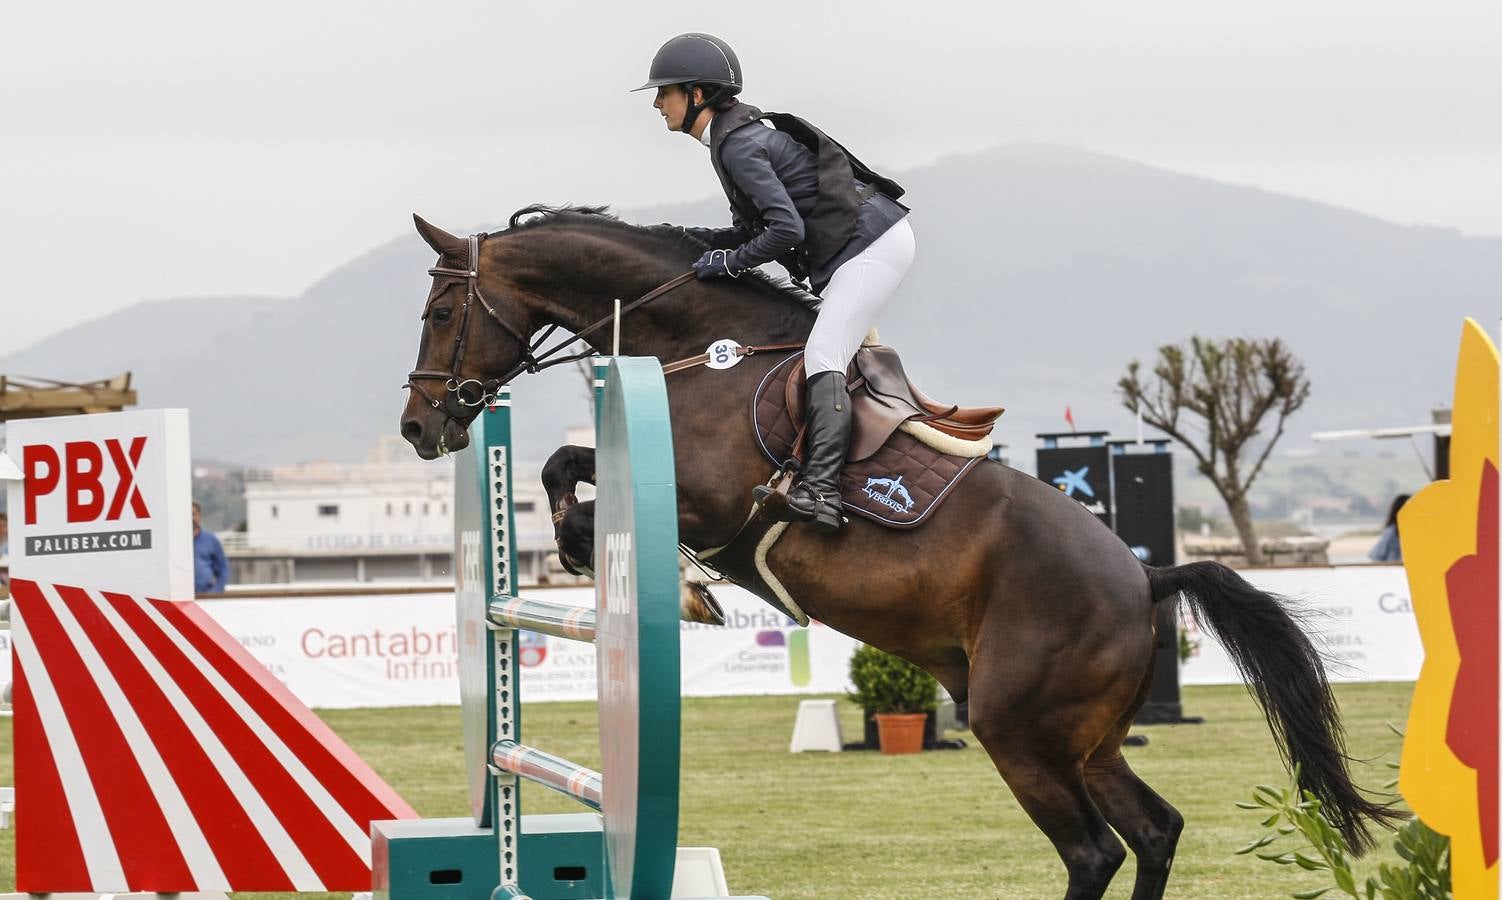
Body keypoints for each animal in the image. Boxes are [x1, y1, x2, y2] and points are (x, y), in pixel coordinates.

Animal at [399, 205, 1393, 900]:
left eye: (442, 308)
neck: (698, 350)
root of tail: (1148, 576)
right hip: (1090, 741)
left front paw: (627, 568)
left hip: (1019, 730)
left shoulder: (713, 507)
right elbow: (563, 463)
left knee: (1092, 851)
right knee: (1153, 833)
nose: (418, 426)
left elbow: (577, 477)